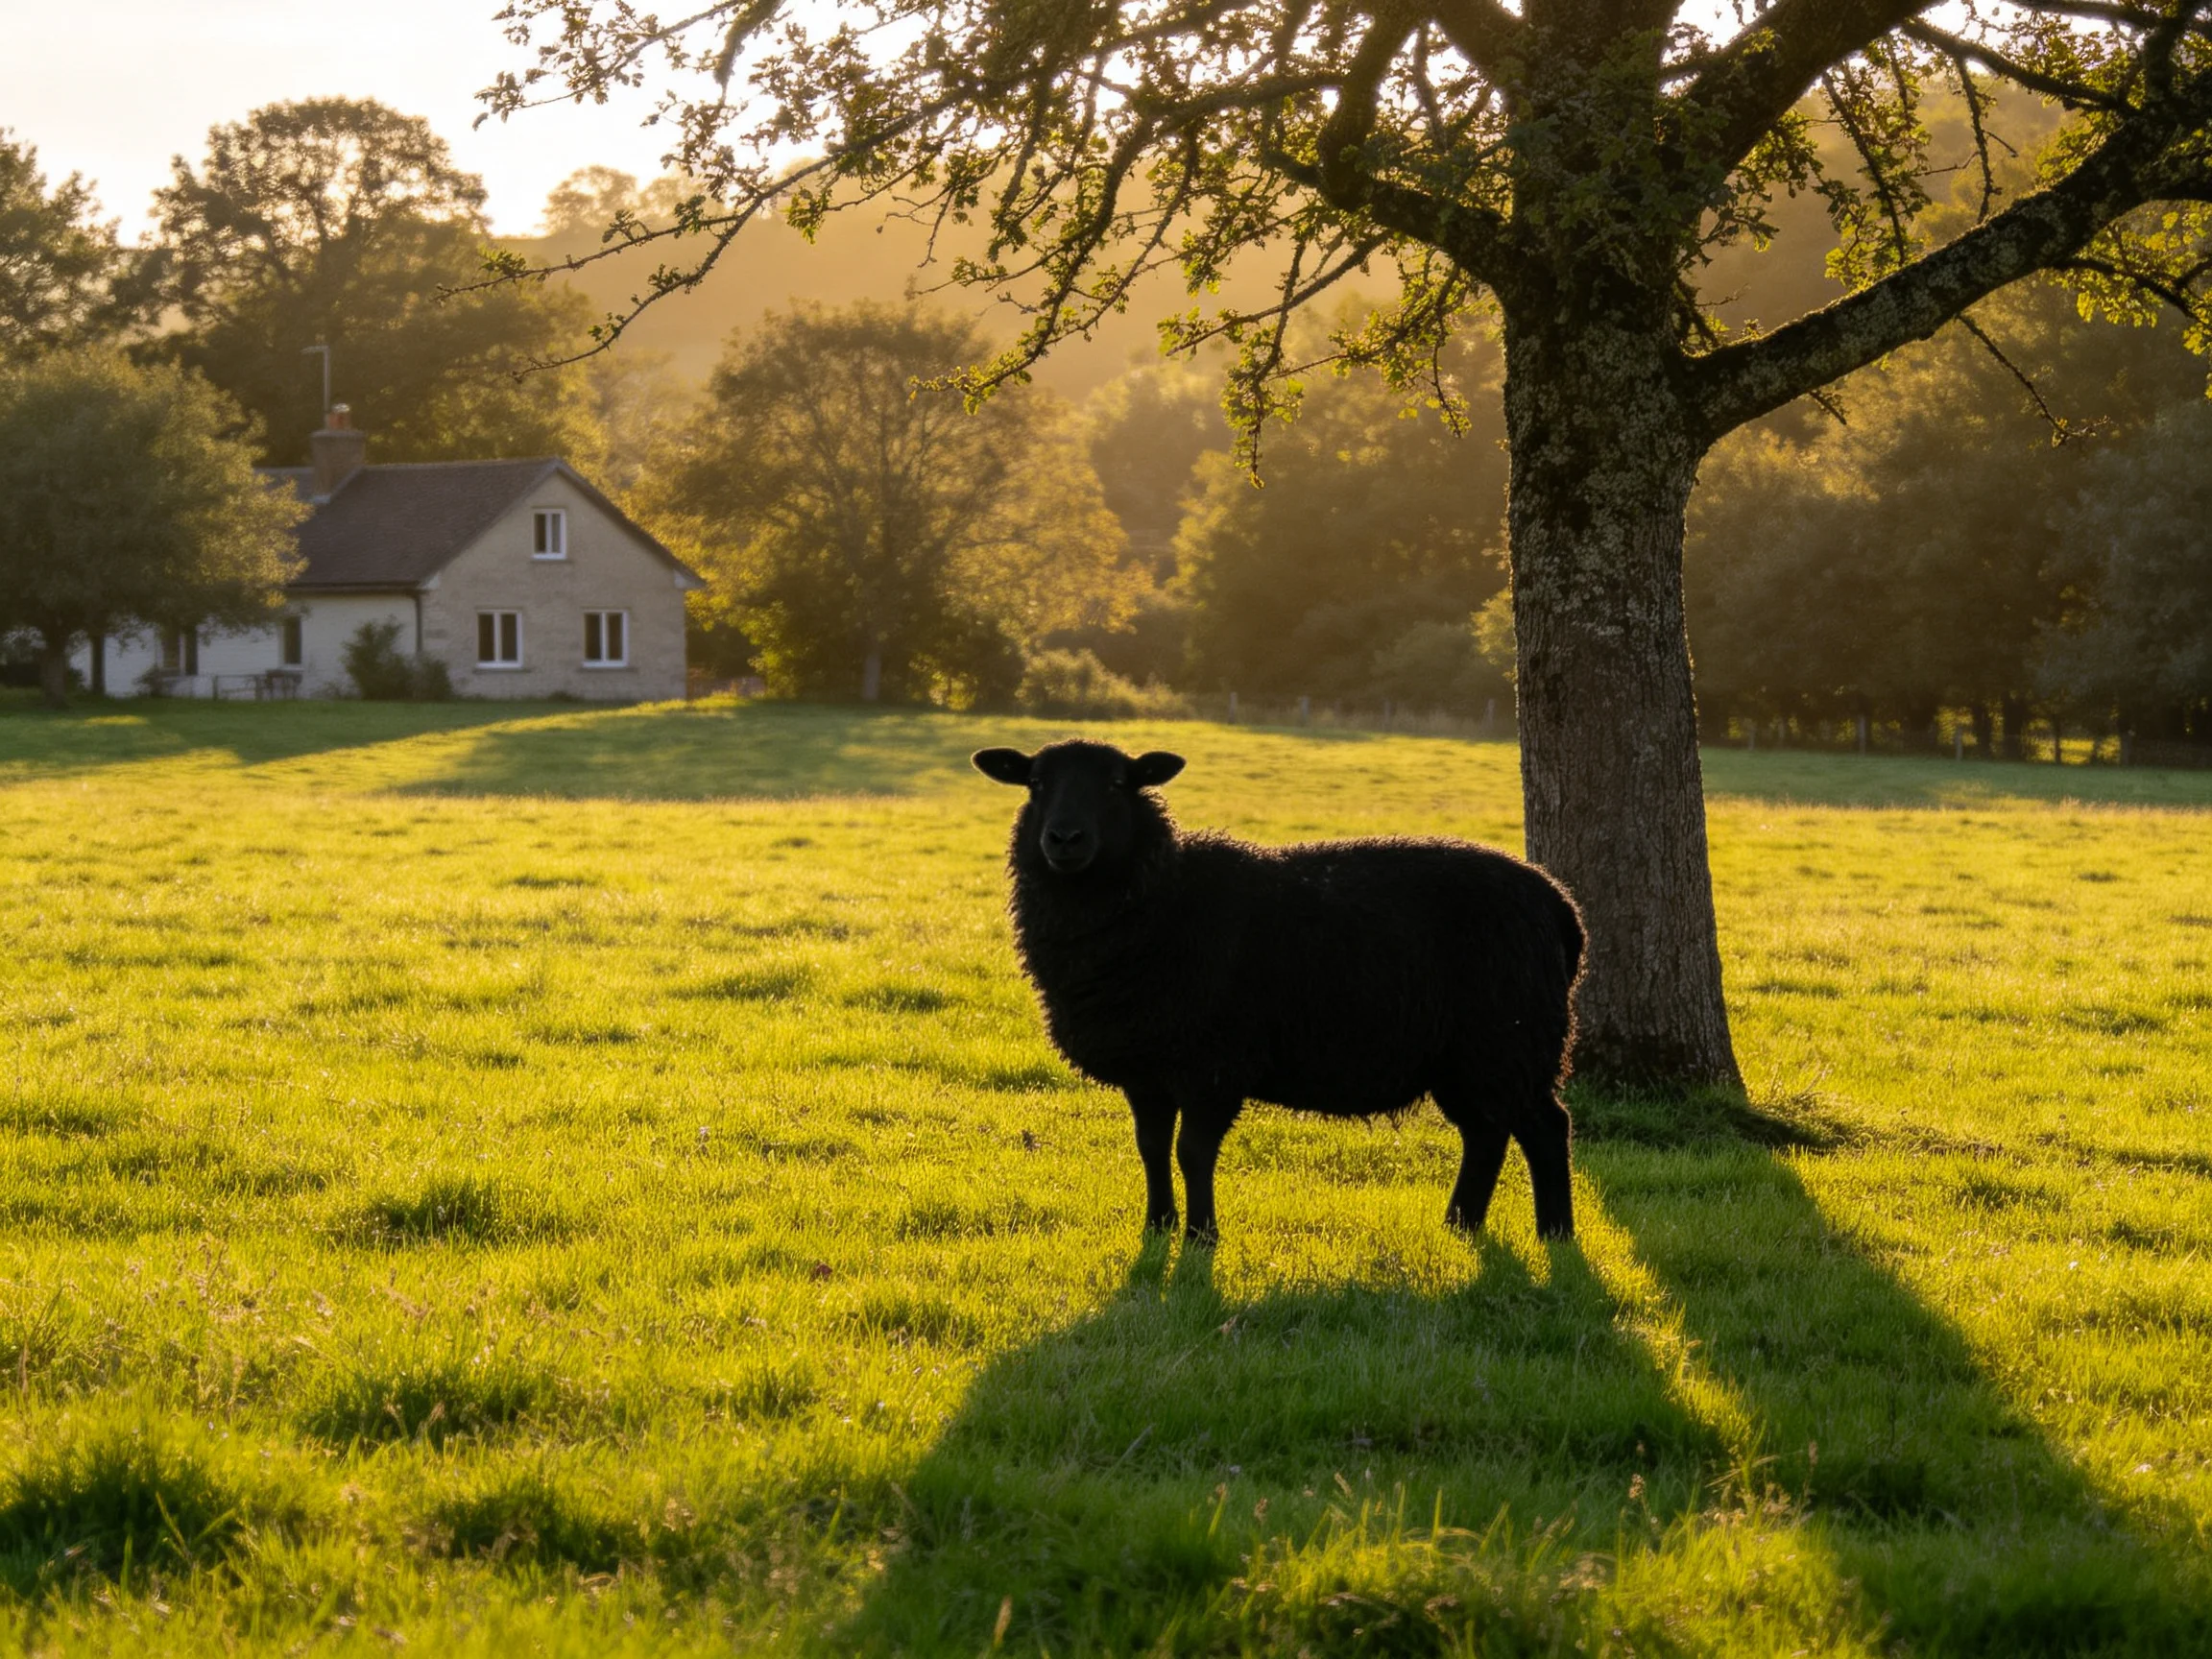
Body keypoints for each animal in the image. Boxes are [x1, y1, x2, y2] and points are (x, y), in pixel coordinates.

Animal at [972, 738, 1584, 1243]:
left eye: (1118, 783)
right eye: (1036, 784)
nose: (1064, 839)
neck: (1164, 896)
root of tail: (1560, 905)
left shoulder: (1213, 1063)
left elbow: (1192, 1152)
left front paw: (1201, 1237)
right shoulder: (1145, 1067)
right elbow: (1150, 1148)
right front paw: (1157, 1226)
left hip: (1510, 1040)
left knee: (1545, 1128)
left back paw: (1554, 1234)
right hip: (1469, 1057)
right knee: (1487, 1133)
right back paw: (1460, 1225)